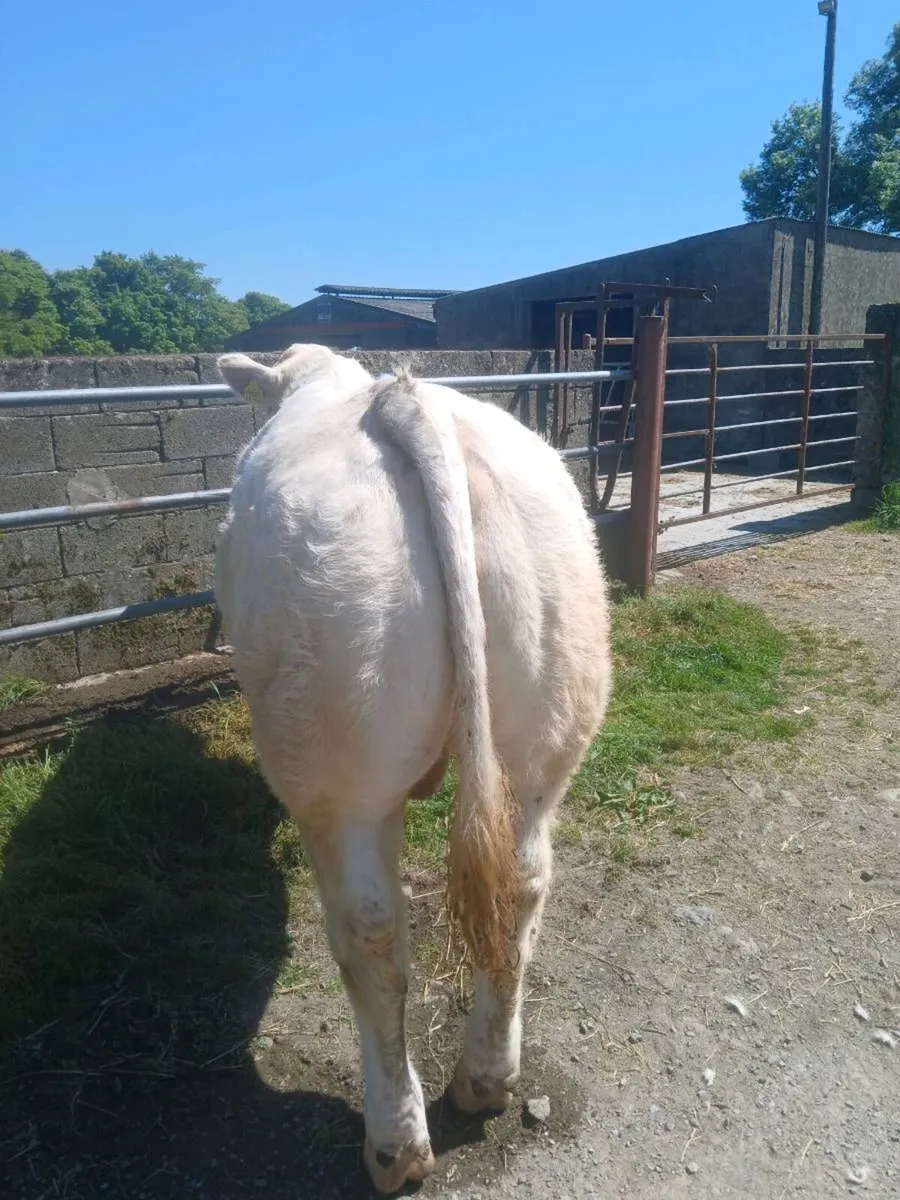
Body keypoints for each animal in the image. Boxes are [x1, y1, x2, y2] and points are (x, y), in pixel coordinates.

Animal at [214, 344, 612, 1193]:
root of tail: (402, 400)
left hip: (339, 767)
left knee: (370, 936)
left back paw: (395, 1143)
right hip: (545, 725)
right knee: (523, 890)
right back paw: (488, 1078)